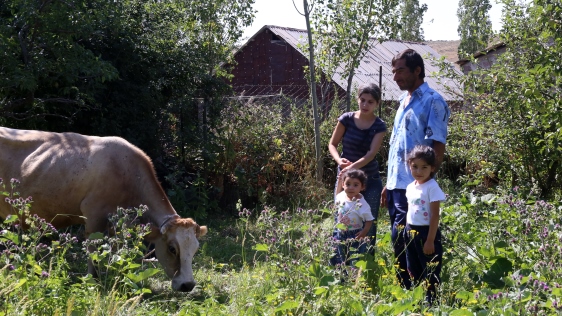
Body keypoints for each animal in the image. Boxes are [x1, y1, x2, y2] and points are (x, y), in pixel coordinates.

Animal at [0, 126, 208, 292]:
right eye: (172, 249)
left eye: (196, 248)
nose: (188, 285)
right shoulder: (93, 215)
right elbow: (93, 252)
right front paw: (94, 281)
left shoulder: (116, 225)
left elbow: (113, 252)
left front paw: (114, 275)